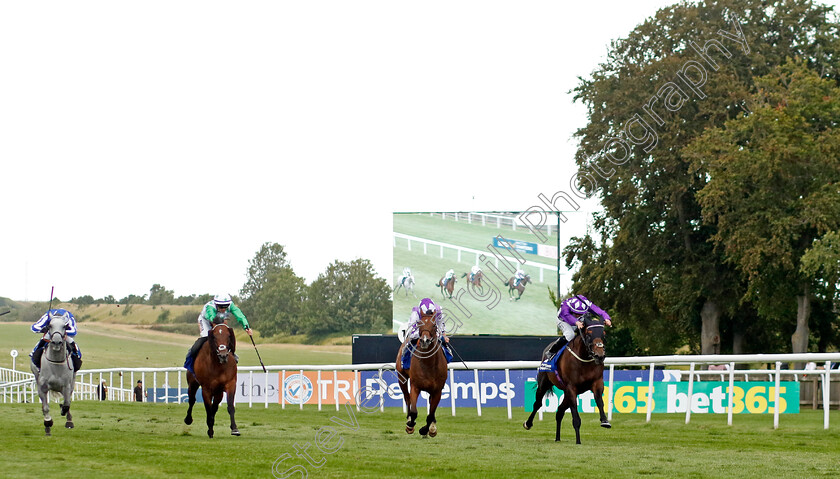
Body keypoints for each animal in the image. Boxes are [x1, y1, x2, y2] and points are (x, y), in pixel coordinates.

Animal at [520, 314, 608, 444]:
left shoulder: (597, 382)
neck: (584, 359)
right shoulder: (571, 387)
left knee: (560, 410)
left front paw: (605, 421)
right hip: (544, 383)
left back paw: (557, 438)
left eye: (603, 334)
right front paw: (578, 441)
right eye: (589, 333)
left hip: (567, 393)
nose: (599, 355)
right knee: (538, 404)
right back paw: (528, 423)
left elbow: (599, 401)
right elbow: (575, 414)